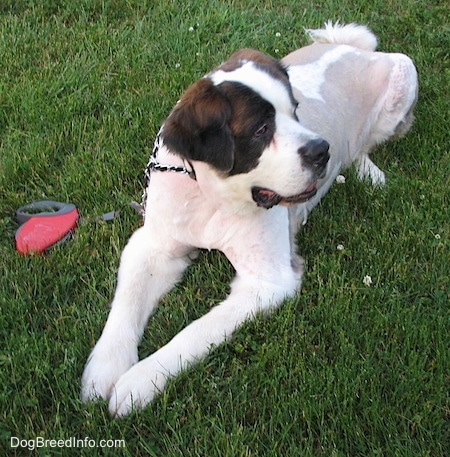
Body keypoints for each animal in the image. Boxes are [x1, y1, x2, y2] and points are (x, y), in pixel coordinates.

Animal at [81, 22, 418, 416]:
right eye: (260, 130)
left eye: (296, 111)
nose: (321, 151)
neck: (212, 198)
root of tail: (354, 49)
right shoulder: (154, 246)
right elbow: (127, 302)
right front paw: (105, 370)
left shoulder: (267, 282)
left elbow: (198, 330)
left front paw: (139, 382)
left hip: (404, 74)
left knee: (364, 145)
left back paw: (367, 172)